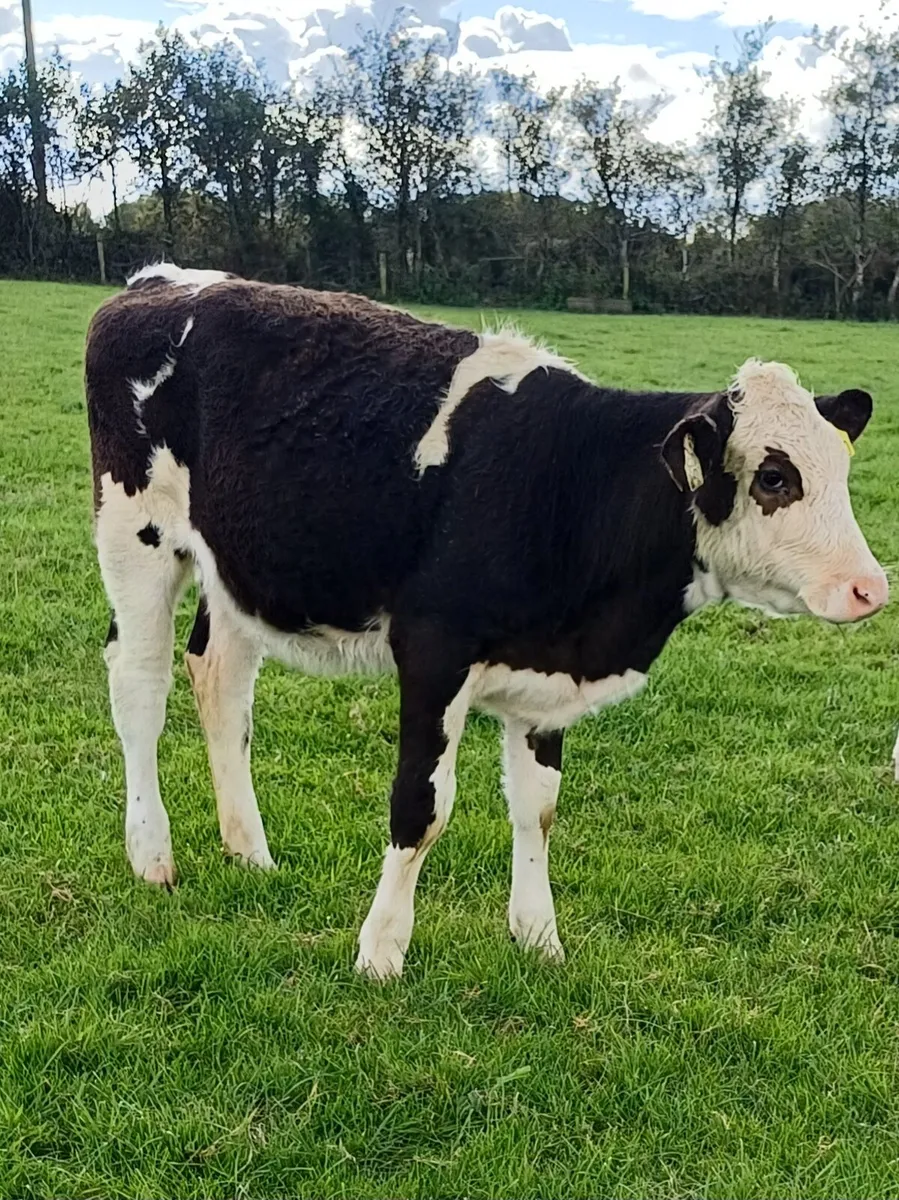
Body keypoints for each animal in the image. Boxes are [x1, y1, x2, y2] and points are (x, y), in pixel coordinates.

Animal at [85, 265, 888, 979]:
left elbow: (538, 808)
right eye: (774, 477)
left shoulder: (548, 674)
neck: (570, 483)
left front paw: (537, 938)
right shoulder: (433, 650)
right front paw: (380, 952)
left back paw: (249, 853)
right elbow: (422, 807)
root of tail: (161, 282)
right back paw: (151, 855)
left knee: (220, 681)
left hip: (237, 570)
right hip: (135, 536)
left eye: (842, 472)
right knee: (140, 687)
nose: (869, 587)